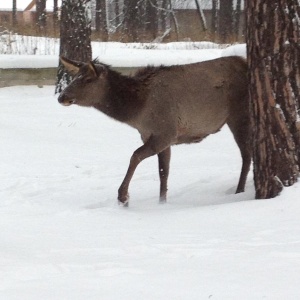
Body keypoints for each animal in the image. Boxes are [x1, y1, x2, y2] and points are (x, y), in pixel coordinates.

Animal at [58, 55, 251, 206]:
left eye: (88, 80)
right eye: (75, 76)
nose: (62, 96)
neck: (137, 112)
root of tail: (245, 62)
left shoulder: (165, 132)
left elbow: (135, 156)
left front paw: (123, 197)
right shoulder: (155, 137)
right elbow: (163, 172)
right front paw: (162, 202)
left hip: (239, 115)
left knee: (246, 155)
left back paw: (239, 190)